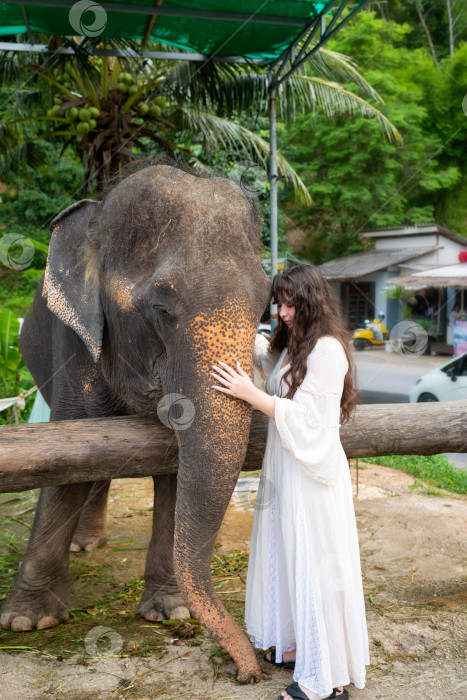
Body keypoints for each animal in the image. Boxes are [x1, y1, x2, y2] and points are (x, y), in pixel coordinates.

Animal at [0, 160, 270, 684]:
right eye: (161, 309)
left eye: (266, 303)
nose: (248, 673)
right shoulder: (75, 347)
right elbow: (66, 465)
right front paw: (27, 621)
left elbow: (173, 472)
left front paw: (170, 611)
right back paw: (85, 547)